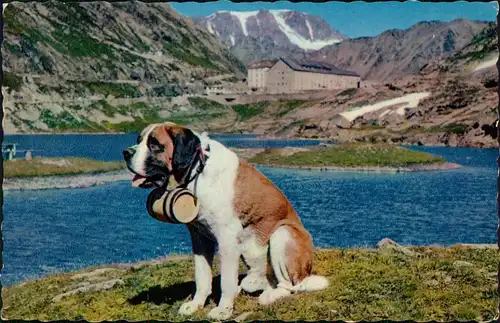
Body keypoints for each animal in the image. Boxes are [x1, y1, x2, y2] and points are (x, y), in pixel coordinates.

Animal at [123, 123, 330, 320]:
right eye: (139, 140)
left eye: (155, 144)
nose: (126, 152)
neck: (198, 170)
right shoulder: (199, 239)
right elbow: (202, 276)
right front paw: (196, 304)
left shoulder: (227, 240)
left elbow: (226, 281)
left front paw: (223, 310)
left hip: (282, 234)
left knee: (290, 286)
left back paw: (270, 295)